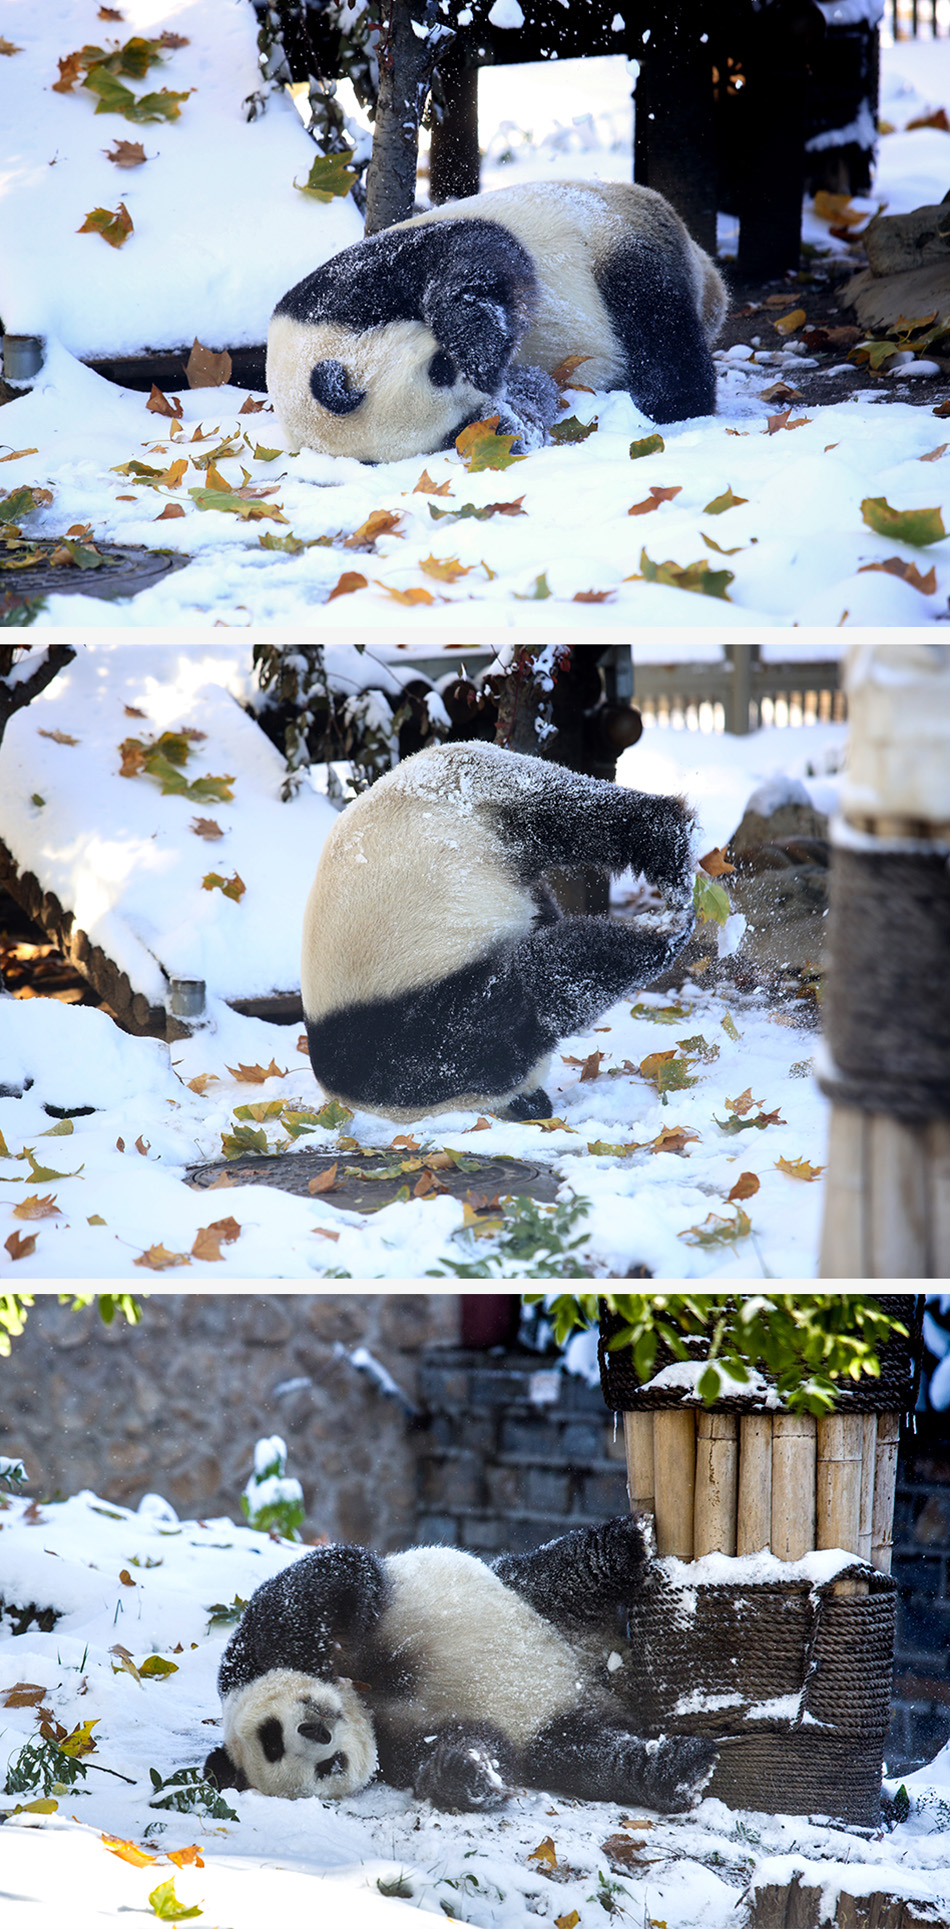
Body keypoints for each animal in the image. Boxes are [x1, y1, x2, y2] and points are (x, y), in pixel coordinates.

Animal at [203, 1512, 714, 1813]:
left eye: (272, 1737)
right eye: (327, 1768)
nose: (319, 1732)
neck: (367, 1699)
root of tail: (601, 1675)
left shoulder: (256, 1656)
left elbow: (318, 1583)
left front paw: (345, 1623)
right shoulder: (398, 1749)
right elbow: (466, 1750)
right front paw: (469, 1773)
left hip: (535, 1602)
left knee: (563, 1571)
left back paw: (627, 1543)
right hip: (558, 1733)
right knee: (589, 1755)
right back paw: (679, 1770)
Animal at [266, 178, 726, 462]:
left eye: (441, 367)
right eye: (454, 428)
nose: (497, 386)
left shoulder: (345, 287)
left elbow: (476, 255)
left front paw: (482, 354)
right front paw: (517, 415)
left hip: (614, 235)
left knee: (654, 315)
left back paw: (669, 401)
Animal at [301, 736, 695, 1126]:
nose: (538, 1107)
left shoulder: (416, 1037)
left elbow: (531, 991)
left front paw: (658, 936)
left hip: (473, 801)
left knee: (576, 811)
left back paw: (670, 850)